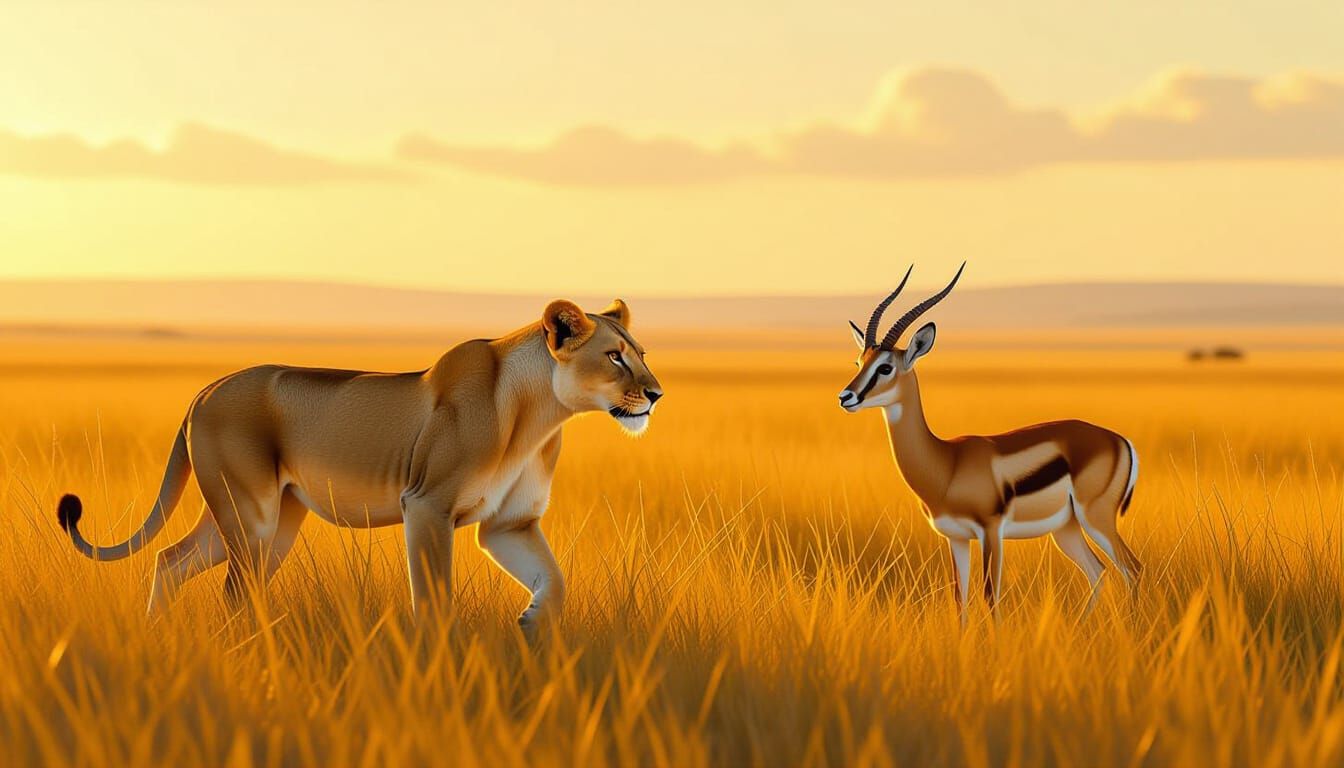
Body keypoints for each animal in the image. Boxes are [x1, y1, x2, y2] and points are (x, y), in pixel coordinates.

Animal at [56, 299, 663, 635]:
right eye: (614, 356)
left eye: (642, 353)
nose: (656, 394)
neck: (539, 413)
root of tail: (205, 389)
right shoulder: (428, 506)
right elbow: (434, 600)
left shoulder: (508, 525)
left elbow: (554, 581)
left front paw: (534, 624)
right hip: (250, 516)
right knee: (230, 591)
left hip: (268, 520)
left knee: (170, 560)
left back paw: (160, 637)